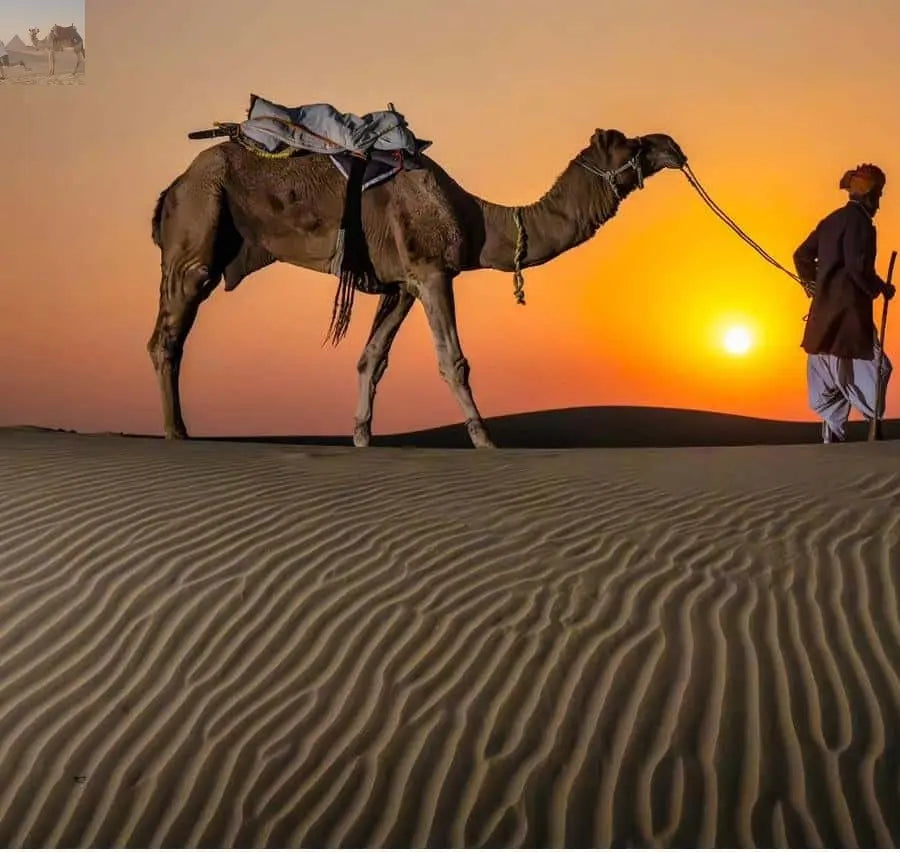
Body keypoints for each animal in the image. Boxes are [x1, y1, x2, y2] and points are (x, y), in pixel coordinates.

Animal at [149, 126, 686, 448]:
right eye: (633, 145)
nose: (672, 145)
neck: (478, 220)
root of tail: (172, 185)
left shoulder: (402, 283)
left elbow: (372, 358)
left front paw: (361, 435)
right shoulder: (432, 272)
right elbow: (453, 360)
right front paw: (484, 438)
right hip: (197, 225)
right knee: (168, 334)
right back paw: (176, 431)